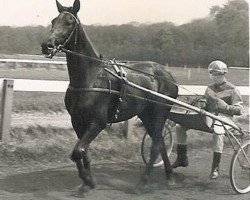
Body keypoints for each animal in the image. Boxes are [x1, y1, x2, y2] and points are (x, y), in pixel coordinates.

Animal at [40, 0, 178, 194]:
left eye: (69, 22)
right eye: (53, 21)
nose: (47, 45)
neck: (91, 78)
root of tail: (168, 75)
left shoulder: (98, 122)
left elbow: (78, 151)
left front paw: (88, 181)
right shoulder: (78, 122)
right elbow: (83, 153)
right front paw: (86, 183)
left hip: (159, 113)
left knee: (156, 146)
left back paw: (143, 182)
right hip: (146, 115)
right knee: (160, 144)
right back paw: (170, 177)